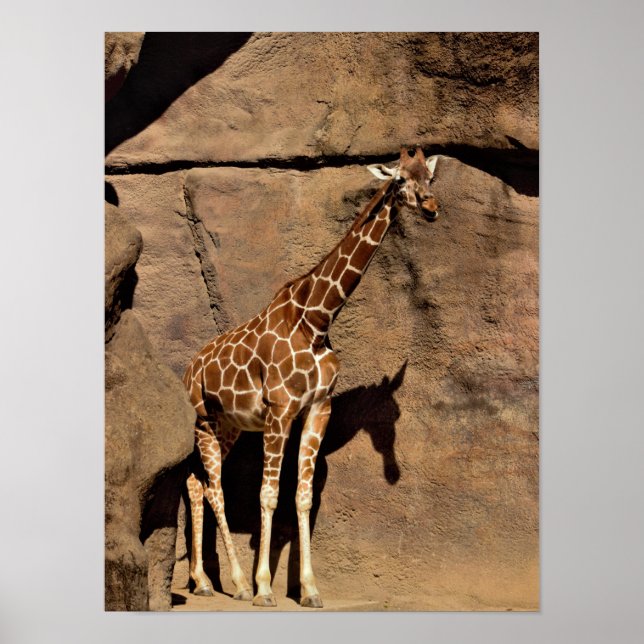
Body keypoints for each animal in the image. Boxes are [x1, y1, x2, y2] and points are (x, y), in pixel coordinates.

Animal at [182, 146, 440, 608]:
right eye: (399, 180)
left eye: (429, 178)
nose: (431, 207)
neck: (317, 320)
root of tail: (191, 367)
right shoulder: (279, 410)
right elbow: (268, 496)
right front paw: (265, 588)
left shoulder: (318, 408)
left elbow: (302, 497)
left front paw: (309, 589)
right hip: (204, 419)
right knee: (213, 488)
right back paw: (237, 583)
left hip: (229, 425)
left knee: (196, 482)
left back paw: (203, 580)